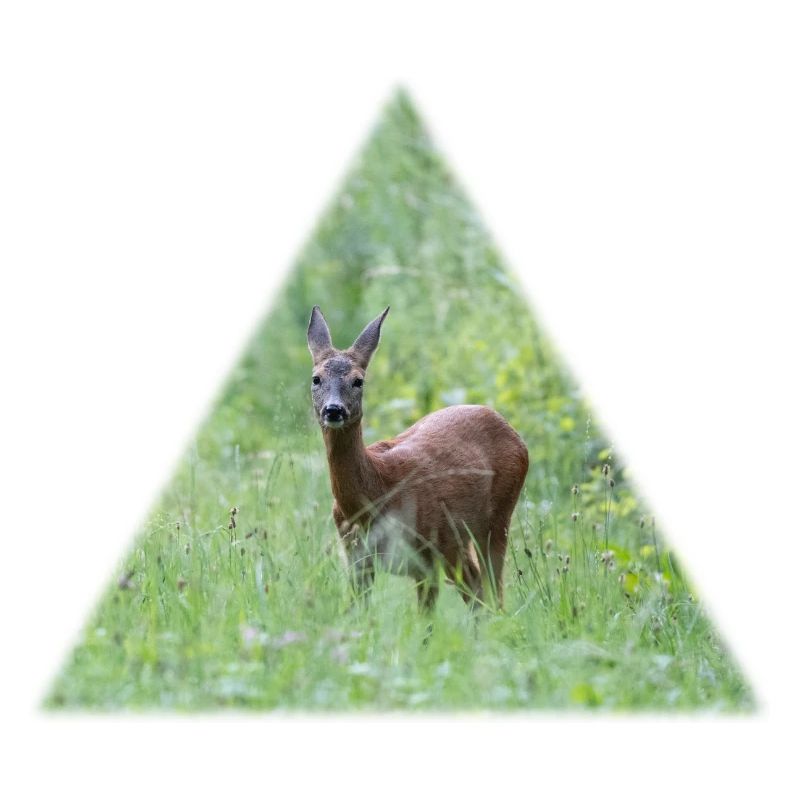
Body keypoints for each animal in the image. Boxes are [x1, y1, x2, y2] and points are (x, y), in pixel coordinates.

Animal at [307, 305, 529, 611]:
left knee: (489, 588)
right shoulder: (355, 557)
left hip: (493, 519)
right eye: (316, 378)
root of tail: (513, 431)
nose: (333, 409)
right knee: (478, 587)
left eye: (358, 381)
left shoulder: (427, 556)